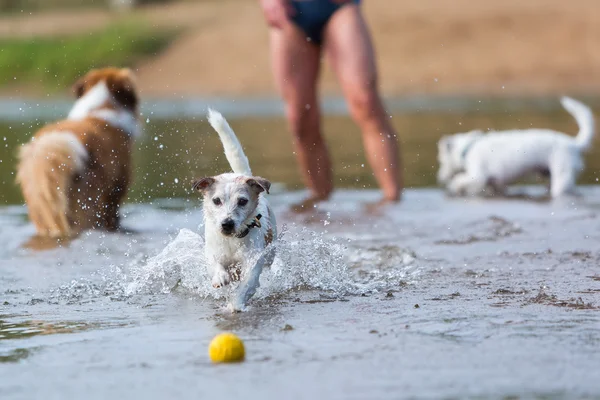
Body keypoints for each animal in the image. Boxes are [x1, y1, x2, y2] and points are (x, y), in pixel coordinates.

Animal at [193, 110, 278, 312]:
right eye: (216, 201)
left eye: (242, 201)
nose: (227, 224)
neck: (232, 241)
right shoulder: (213, 252)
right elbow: (216, 266)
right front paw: (220, 277)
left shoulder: (253, 263)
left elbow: (247, 283)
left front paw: (236, 304)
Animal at [436, 97, 596, 197]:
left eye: (441, 161)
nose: (439, 177)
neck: (468, 148)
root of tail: (575, 143)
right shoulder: (496, 184)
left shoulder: (478, 176)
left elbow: (460, 179)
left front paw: (454, 186)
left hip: (561, 180)